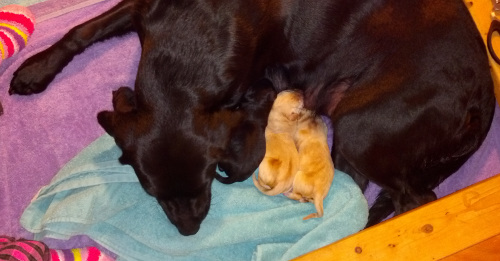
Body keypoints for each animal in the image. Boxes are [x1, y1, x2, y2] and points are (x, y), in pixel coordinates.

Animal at [9, 0, 494, 233]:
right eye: (150, 192)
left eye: (207, 179)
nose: (189, 232)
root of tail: (486, 94)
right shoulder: (141, 7)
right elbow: (81, 30)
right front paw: (35, 70)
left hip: (362, 126)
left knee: (414, 198)